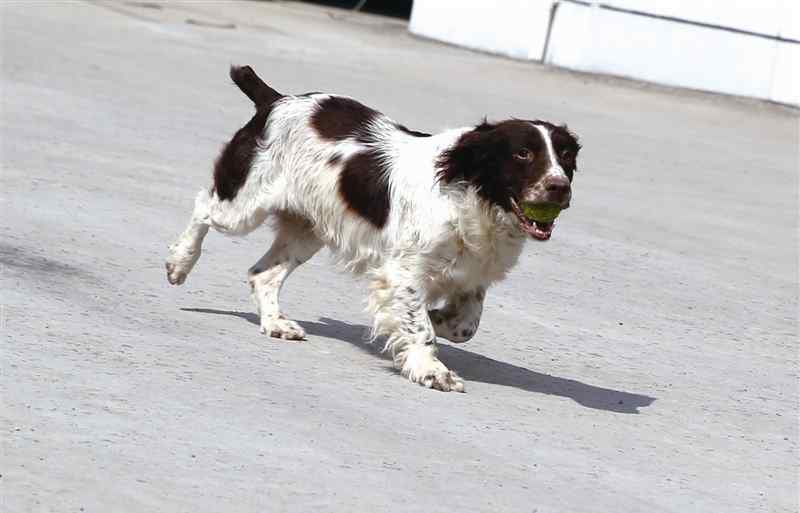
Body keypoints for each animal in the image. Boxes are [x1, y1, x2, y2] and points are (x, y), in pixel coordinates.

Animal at [167, 65, 580, 392]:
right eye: (522, 154)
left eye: (566, 157)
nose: (559, 187)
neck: (474, 197)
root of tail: (277, 100)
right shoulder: (404, 270)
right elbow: (420, 326)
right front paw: (430, 369)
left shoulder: (472, 273)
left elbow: (464, 324)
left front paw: (436, 321)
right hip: (244, 206)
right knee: (204, 208)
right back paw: (179, 264)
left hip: (308, 228)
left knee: (262, 274)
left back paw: (276, 324)